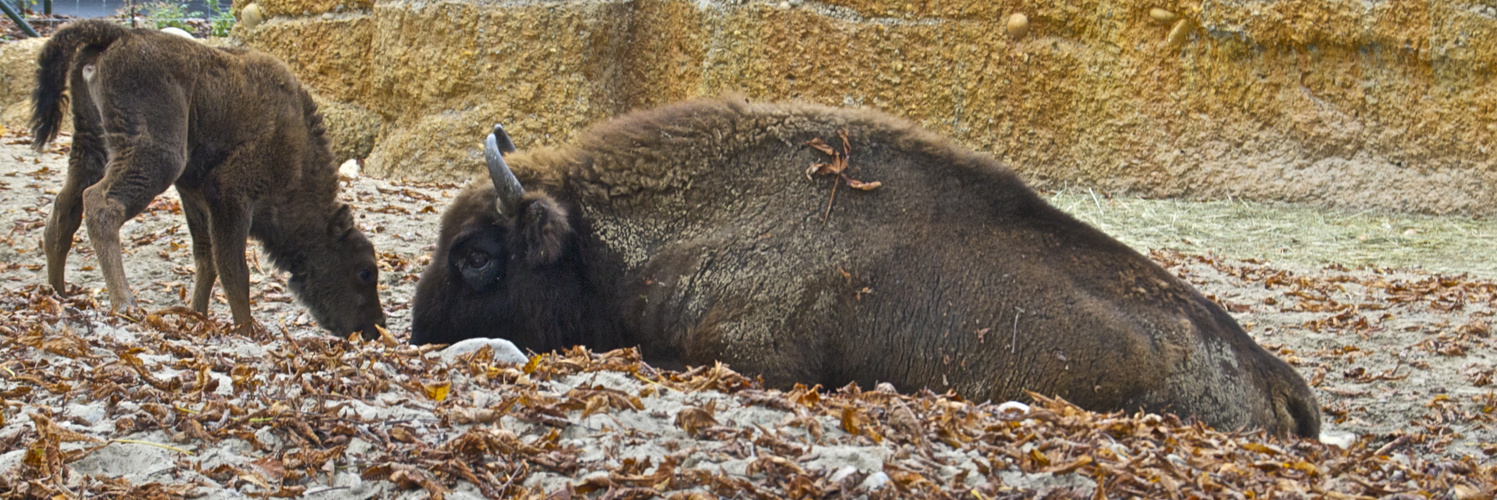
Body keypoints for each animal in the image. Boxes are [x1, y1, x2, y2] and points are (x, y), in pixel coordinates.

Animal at [32, 21, 386, 338]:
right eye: (364, 272)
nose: (375, 329)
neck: (296, 145)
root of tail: (119, 35)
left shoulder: (195, 196)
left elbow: (206, 259)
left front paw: (197, 316)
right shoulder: (229, 197)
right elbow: (234, 270)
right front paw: (247, 330)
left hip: (91, 145)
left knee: (64, 208)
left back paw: (57, 292)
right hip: (156, 158)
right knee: (101, 205)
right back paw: (125, 304)